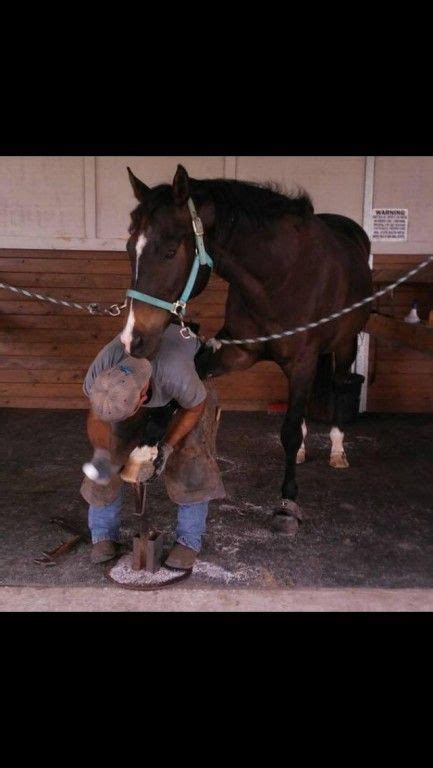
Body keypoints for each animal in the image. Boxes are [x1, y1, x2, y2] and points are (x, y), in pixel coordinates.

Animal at [120, 162, 372, 536]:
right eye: (128, 248)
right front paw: (144, 451)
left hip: (343, 347)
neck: (282, 275)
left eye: (169, 251)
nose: (132, 339)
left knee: (340, 388)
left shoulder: (303, 361)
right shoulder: (236, 351)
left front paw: (287, 502)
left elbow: (287, 431)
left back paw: (338, 451)